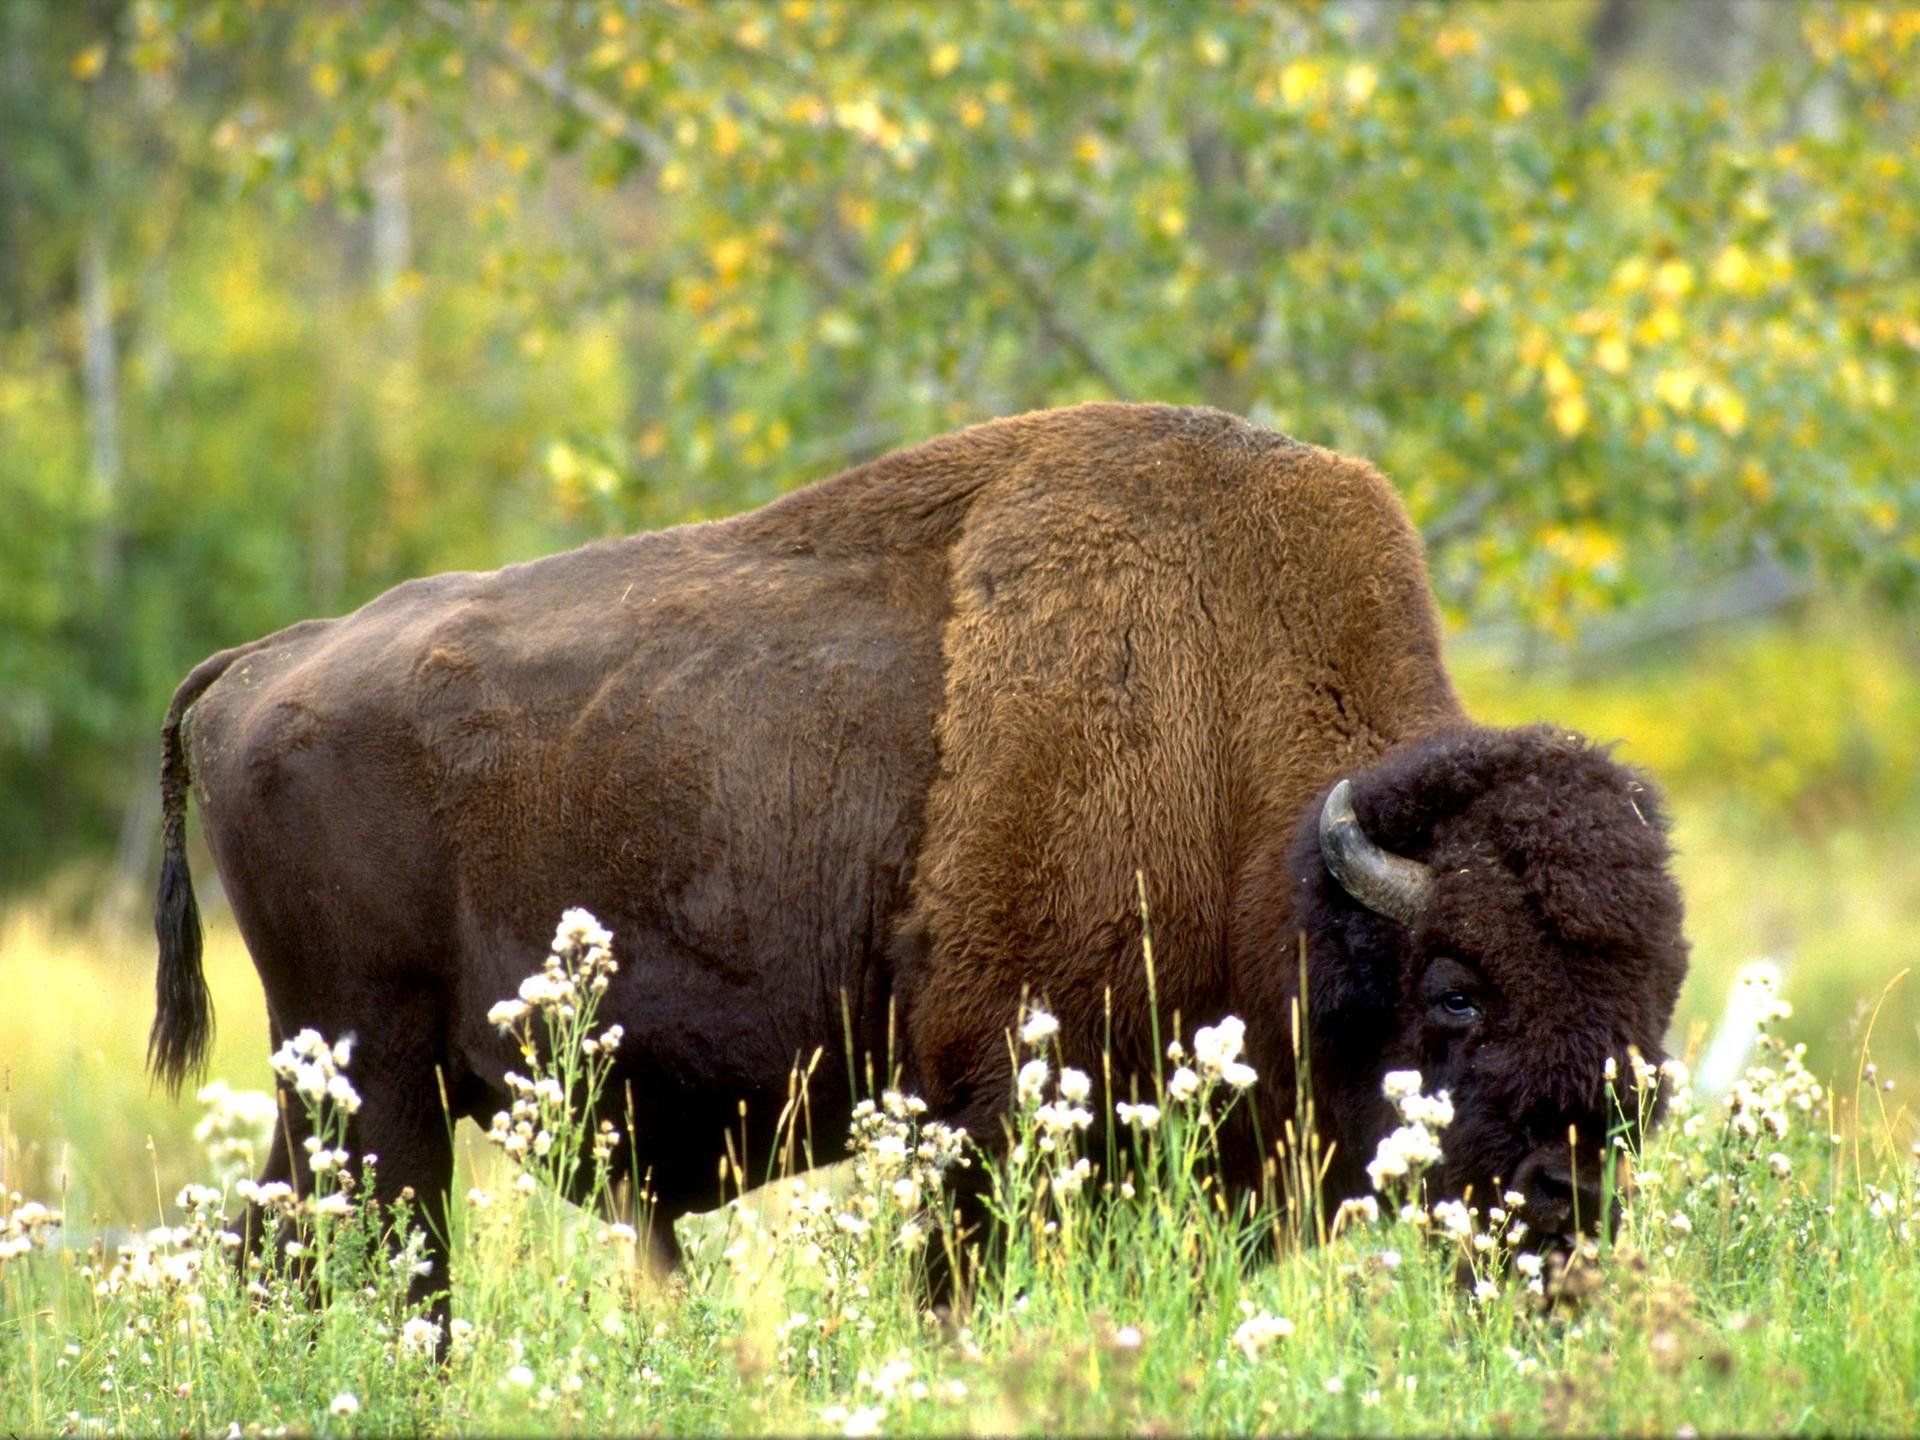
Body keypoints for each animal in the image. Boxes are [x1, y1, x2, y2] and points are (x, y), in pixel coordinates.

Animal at [145, 403, 1681, 1297]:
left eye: (1657, 1003)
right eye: (1457, 989)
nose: (1574, 1195)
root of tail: (258, 668)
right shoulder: (988, 1108)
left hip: (335, 1094)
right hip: (375, 1082)